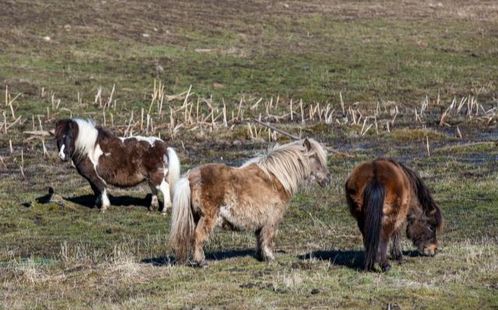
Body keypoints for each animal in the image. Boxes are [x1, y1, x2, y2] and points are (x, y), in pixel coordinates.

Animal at [168, 138, 330, 266]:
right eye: (314, 156)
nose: (327, 179)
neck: (276, 178)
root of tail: (189, 177)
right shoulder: (272, 219)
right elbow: (268, 237)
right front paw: (270, 258)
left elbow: (259, 238)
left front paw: (261, 257)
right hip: (207, 217)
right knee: (199, 236)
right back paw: (201, 262)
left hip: (195, 217)